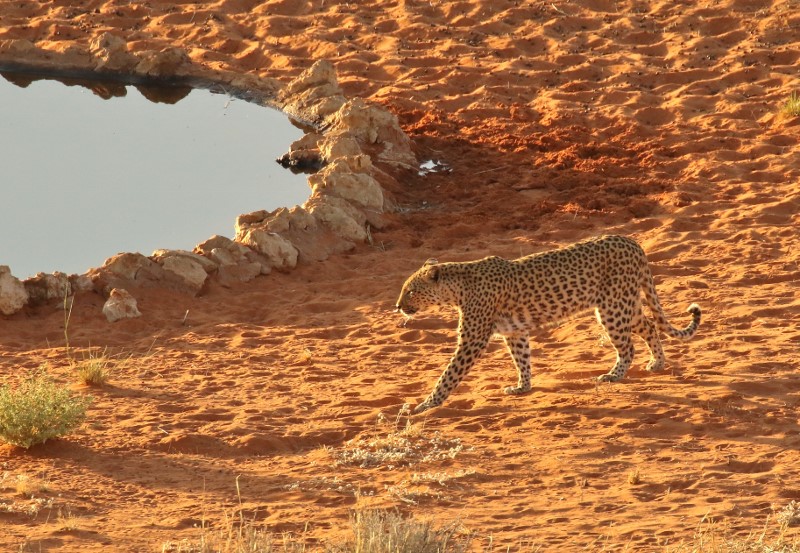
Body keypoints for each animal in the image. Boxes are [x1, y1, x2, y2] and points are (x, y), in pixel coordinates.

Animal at [395, 235, 701, 414]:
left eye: (410, 291)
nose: (397, 306)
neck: (457, 287)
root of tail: (632, 242)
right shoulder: (514, 331)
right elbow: (522, 359)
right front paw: (522, 387)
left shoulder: (472, 339)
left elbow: (448, 375)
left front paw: (425, 404)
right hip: (626, 304)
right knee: (649, 326)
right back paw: (657, 362)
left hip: (612, 308)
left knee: (627, 346)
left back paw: (614, 375)